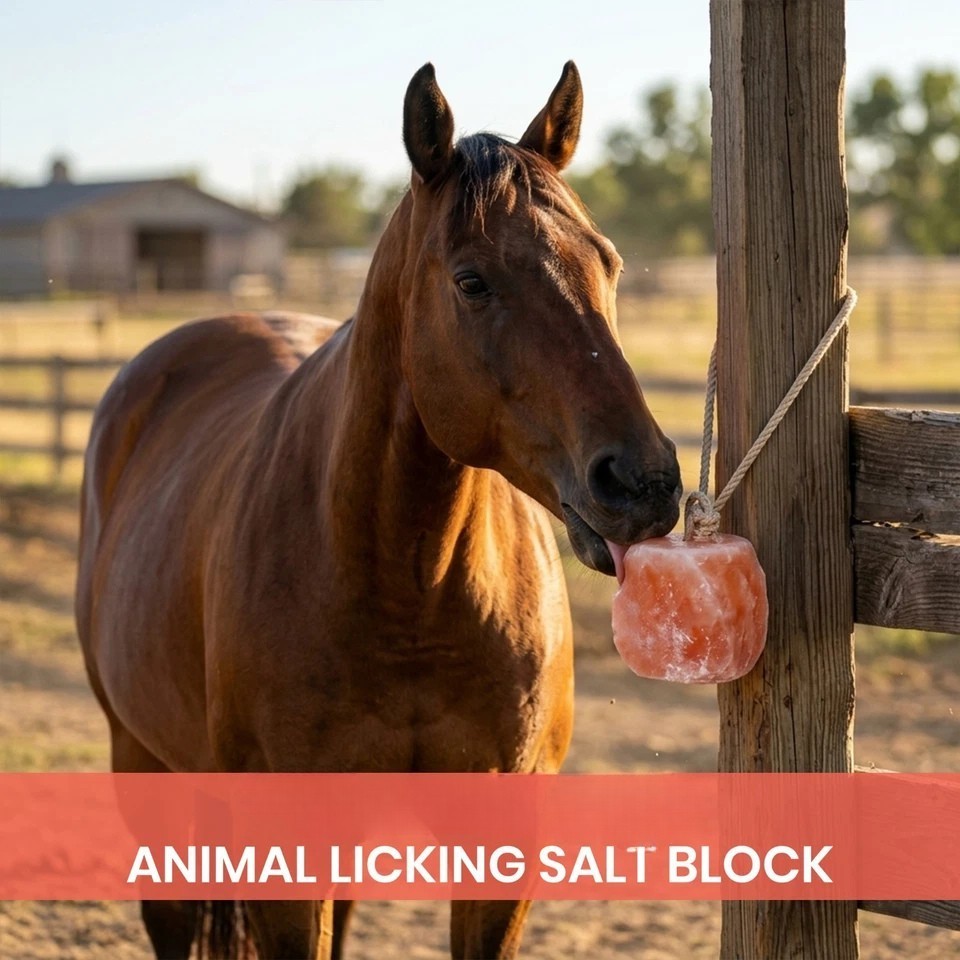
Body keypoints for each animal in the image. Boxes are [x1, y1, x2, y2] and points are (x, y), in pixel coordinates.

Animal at [75, 61, 681, 959]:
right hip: (141, 760)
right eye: (472, 280)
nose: (642, 483)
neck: (410, 592)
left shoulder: (498, 851)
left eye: (606, 263)